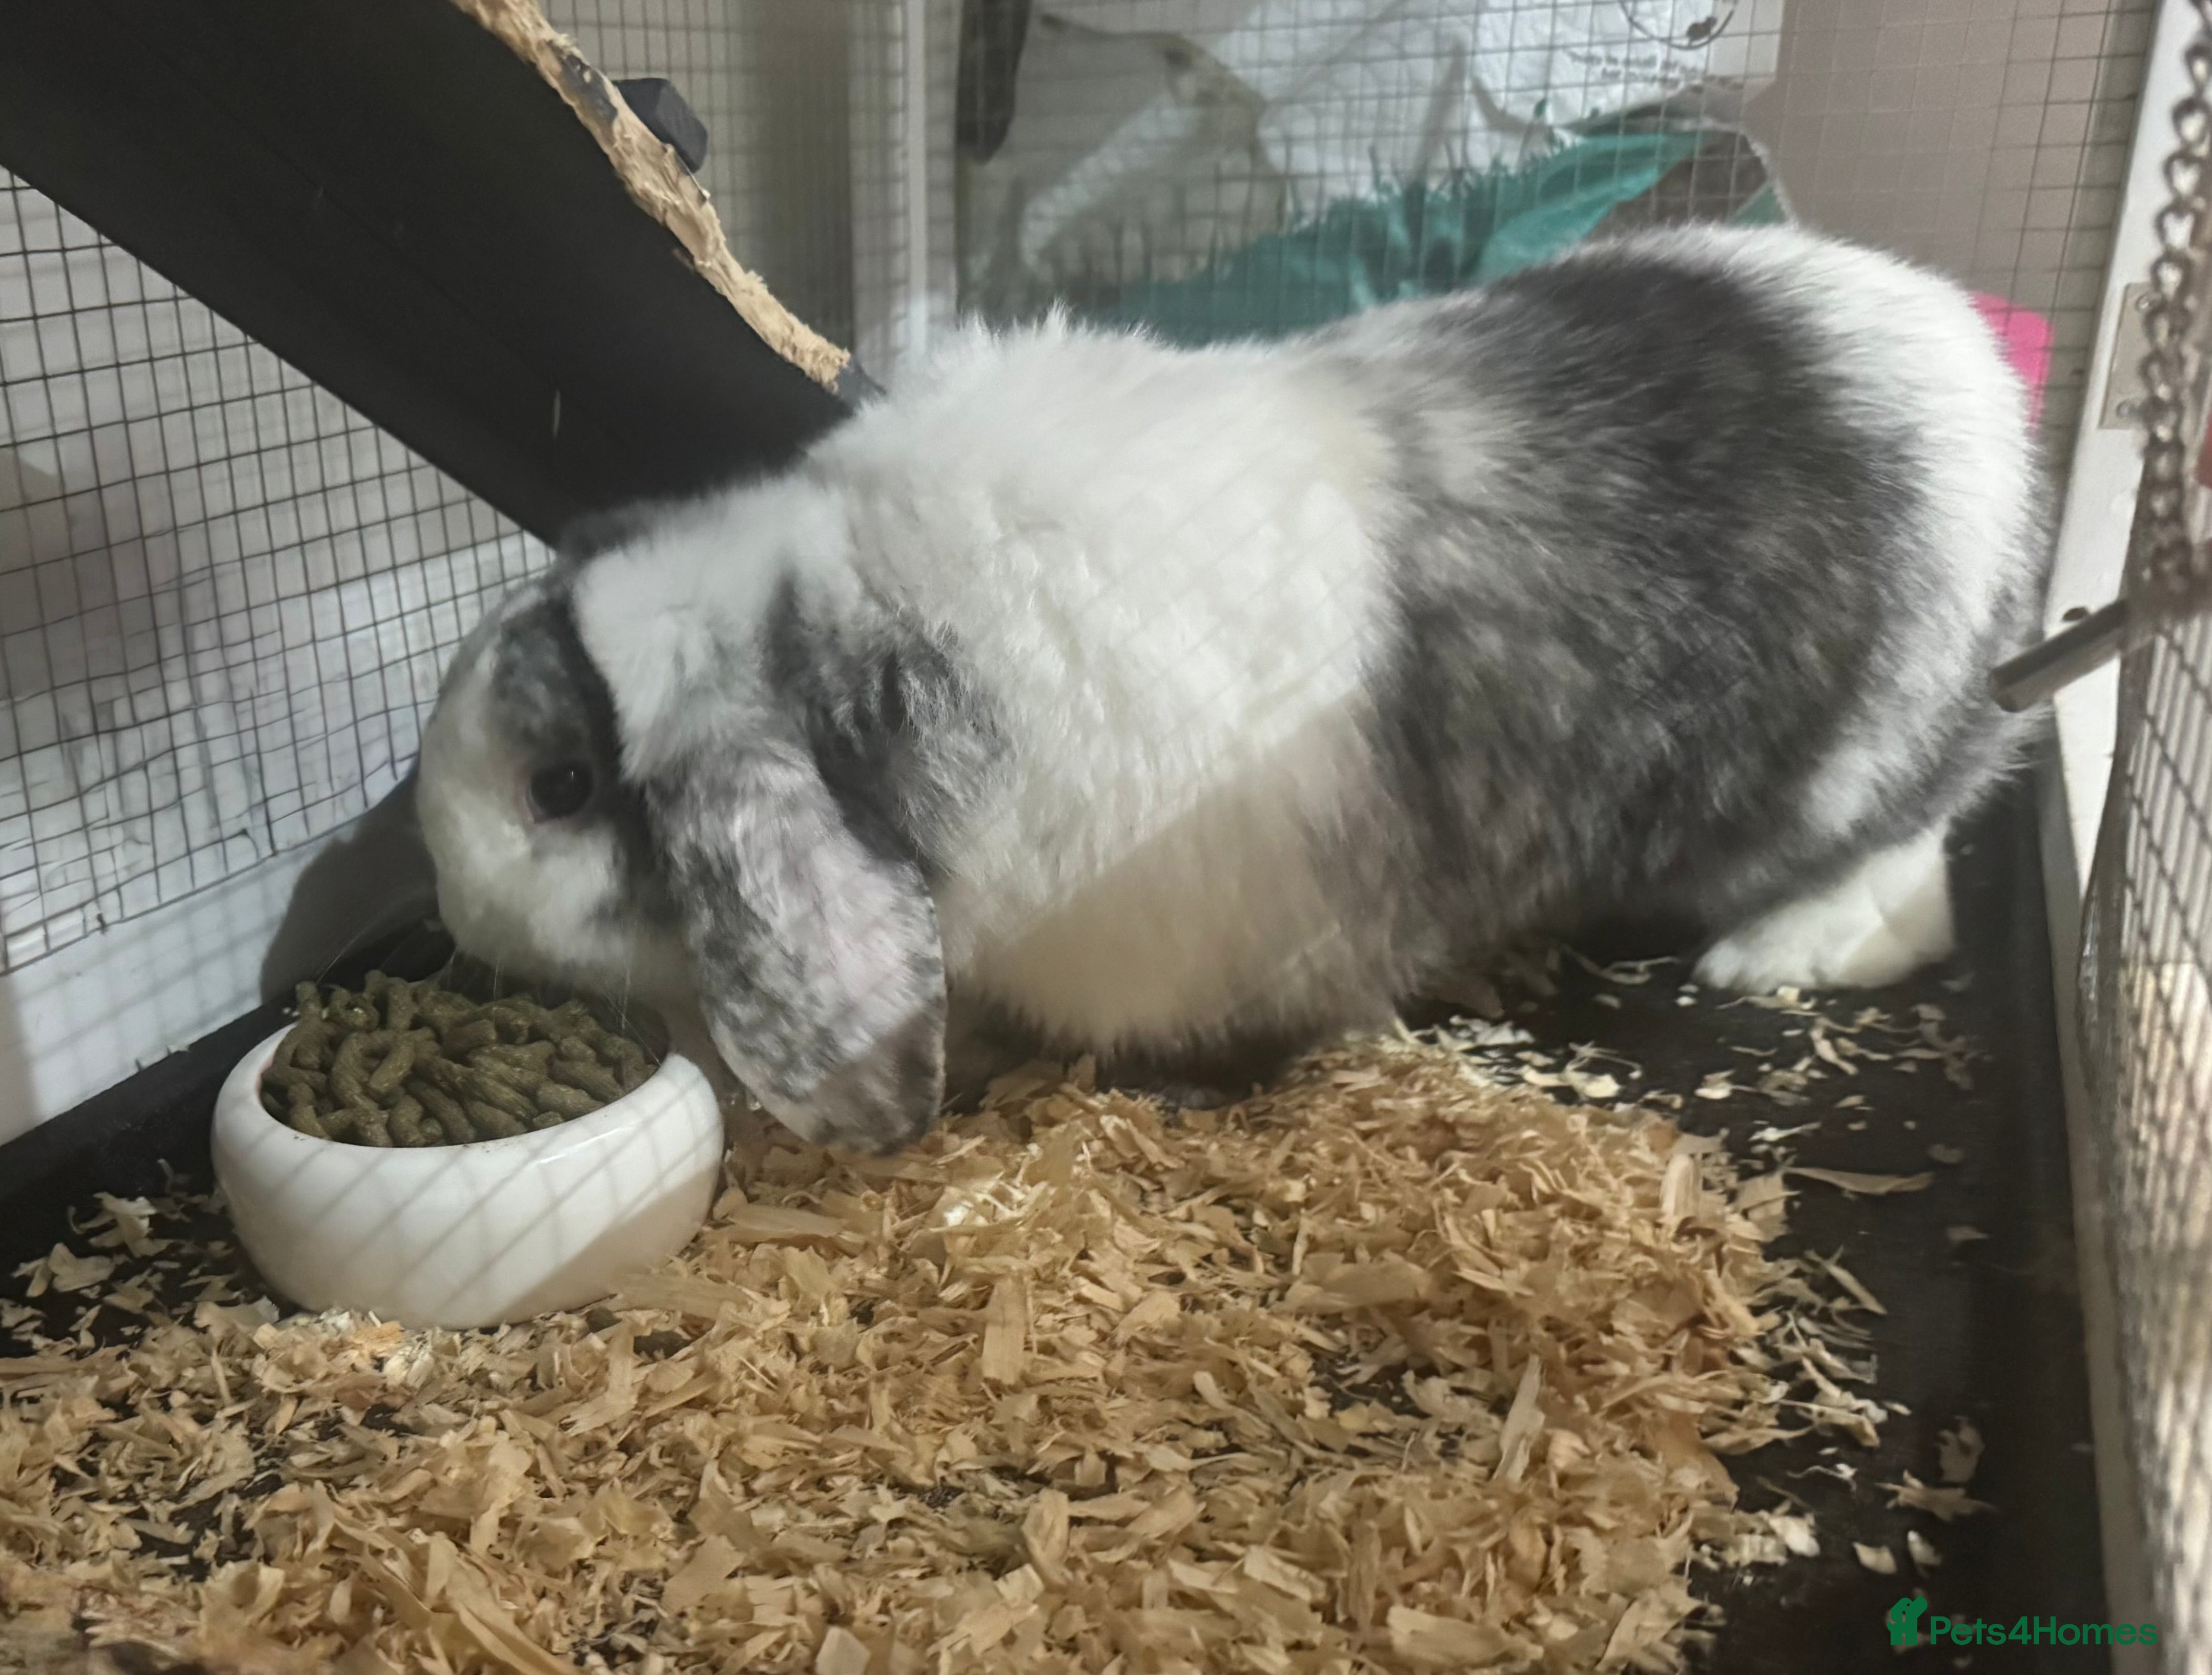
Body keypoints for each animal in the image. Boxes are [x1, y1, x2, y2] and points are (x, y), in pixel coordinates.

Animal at [413, 221, 2050, 1153]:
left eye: (561, 784)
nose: (449, 905)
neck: (850, 629)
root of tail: (1971, 367)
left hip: (1869, 760)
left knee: (1908, 867)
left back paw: (1778, 953)